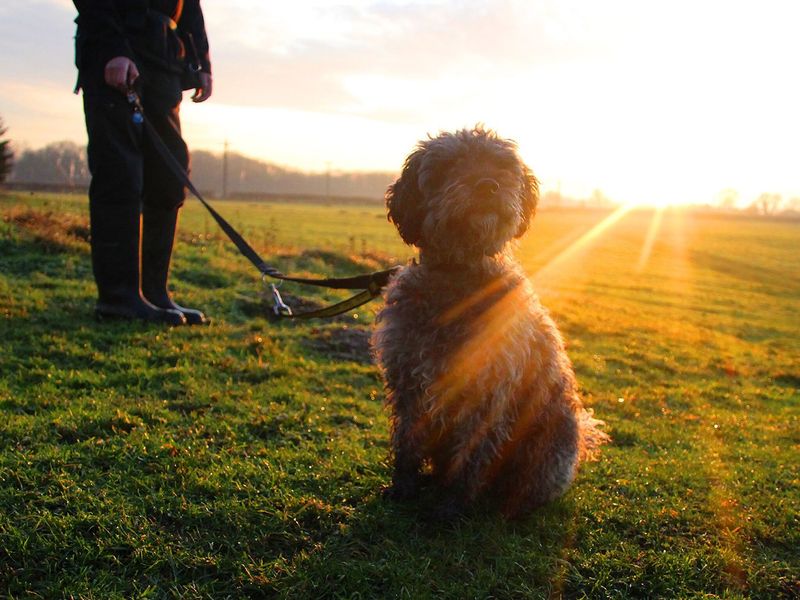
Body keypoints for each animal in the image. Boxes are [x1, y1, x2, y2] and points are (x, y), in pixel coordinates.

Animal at [372, 127, 608, 520]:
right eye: (450, 164)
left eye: (502, 165)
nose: (487, 185)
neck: (459, 279)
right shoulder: (409, 382)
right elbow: (407, 439)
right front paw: (403, 487)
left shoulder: (488, 391)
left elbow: (469, 456)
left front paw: (450, 508)